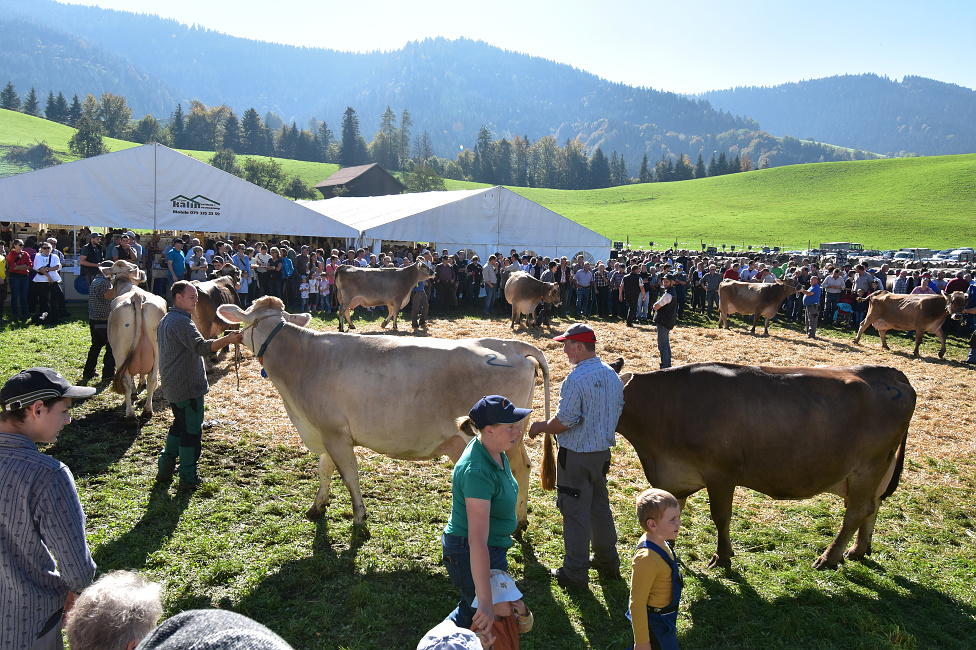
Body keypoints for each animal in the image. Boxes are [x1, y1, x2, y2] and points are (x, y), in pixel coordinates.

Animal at [101, 260, 168, 418]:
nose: (143, 273)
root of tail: (137, 296)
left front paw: (135, 390)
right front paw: (141, 383)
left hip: (120, 350)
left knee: (125, 380)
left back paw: (130, 415)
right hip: (158, 349)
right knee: (153, 379)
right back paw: (147, 411)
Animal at [612, 360, 920, 568]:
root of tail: (890, 372)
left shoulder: (721, 473)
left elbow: (721, 516)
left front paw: (722, 557)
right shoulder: (675, 474)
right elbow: (673, 509)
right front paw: (668, 547)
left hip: (869, 466)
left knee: (857, 511)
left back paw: (828, 557)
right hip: (875, 470)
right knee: (873, 506)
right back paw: (858, 550)